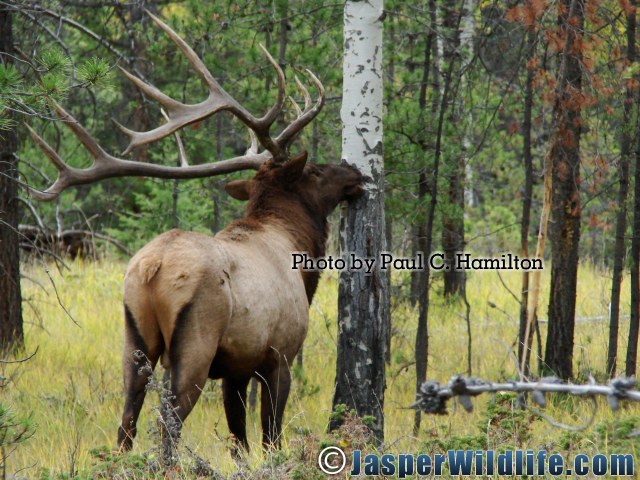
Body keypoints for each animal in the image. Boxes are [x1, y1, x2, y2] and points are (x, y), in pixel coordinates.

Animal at [26, 12, 364, 457]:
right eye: (316, 171)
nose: (355, 173)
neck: (301, 255)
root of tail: (152, 268)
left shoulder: (236, 368)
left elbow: (239, 441)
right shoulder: (279, 355)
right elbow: (270, 435)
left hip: (134, 337)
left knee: (126, 421)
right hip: (195, 344)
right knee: (168, 425)